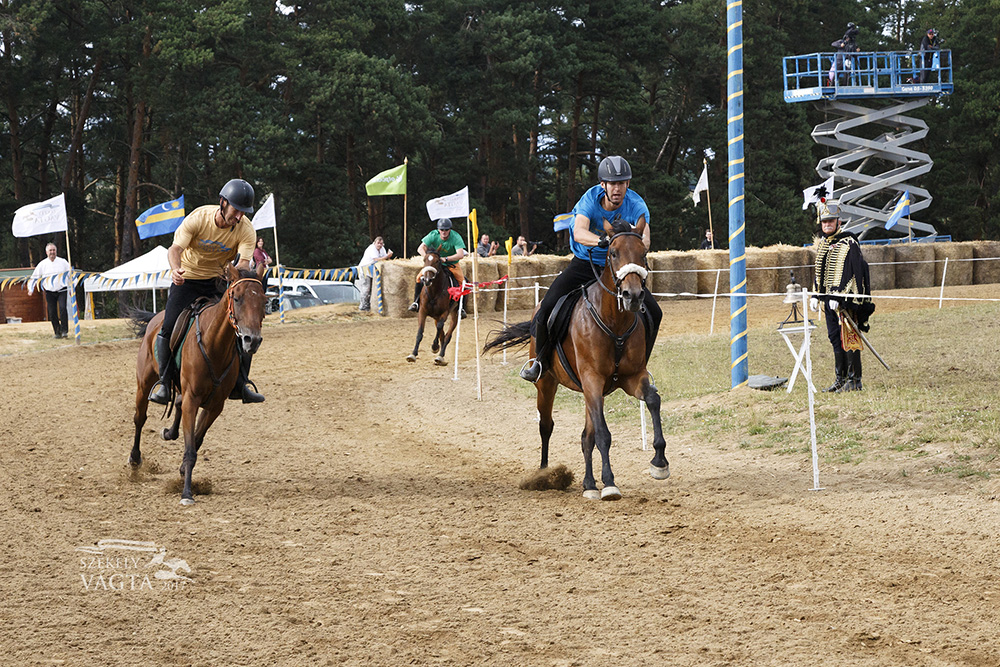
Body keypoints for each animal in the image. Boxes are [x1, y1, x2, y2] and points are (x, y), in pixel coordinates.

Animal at [131, 264, 268, 504]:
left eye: (263, 300)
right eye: (237, 298)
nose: (252, 340)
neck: (214, 346)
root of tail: (156, 319)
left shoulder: (215, 405)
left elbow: (196, 440)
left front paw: (183, 471)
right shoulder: (192, 400)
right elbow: (190, 448)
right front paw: (187, 493)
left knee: (176, 403)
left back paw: (169, 433)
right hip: (144, 383)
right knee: (140, 418)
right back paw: (135, 461)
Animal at [486, 219, 672, 500]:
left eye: (644, 253)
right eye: (613, 252)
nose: (632, 295)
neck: (614, 322)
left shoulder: (631, 377)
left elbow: (652, 400)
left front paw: (659, 462)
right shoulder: (592, 378)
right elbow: (604, 434)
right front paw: (609, 483)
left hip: (589, 392)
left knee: (586, 436)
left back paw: (589, 484)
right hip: (547, 383)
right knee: (546, 426)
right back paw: (545, 474)